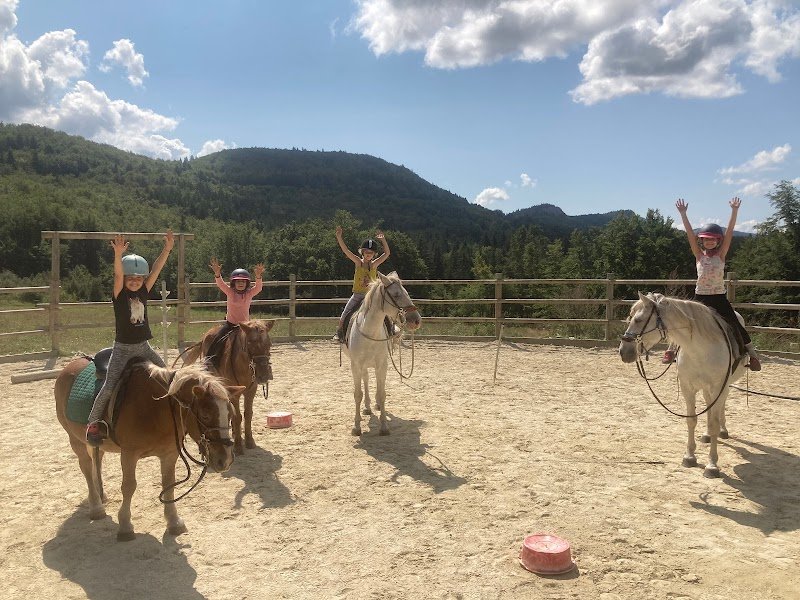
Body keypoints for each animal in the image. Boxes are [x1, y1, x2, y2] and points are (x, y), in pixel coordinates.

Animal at [55, 358, 244, 541]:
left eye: (230, 414)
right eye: (205, 415)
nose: (225, 459)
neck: (155, 409)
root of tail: (69, 366)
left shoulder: (170, 453)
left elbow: (169, 485)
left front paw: (174, 522)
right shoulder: (129, 454)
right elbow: (129, 487)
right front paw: (125, 526)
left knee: (97, 461)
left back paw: (101, 496)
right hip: (75, 441)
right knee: (86, 468)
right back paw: (96, 506)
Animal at [182, 319, 275, 454]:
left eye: (269, 343)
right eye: (250, 343)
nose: (263, 375)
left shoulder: (251, 391)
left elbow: (248, 415)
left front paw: (249, 441)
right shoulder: (234, 394)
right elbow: (237, 417)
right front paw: (238, 446)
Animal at [344, 271, 421, 436]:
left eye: (406, 292)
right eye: (397, 294)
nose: (416, 320)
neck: (370, 332)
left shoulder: (382, 365)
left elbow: (382, 393)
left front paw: (384, 426)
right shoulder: (355, 366)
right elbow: (357, 394)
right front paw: (356, 427)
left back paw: (376, 406)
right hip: (362, 366)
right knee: (366, 380)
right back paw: (367, 408)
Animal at [619, 292, 747, 478]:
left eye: (638, 319)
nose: (623, 351)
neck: (700, 350)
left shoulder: (718, 387)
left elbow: (714, 423)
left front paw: (712, 465)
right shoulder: (688, 388)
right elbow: (691, 420)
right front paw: (690, 457)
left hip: (723, 387)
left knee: (720, 407)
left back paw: (723, 431)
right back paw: (707, 435)